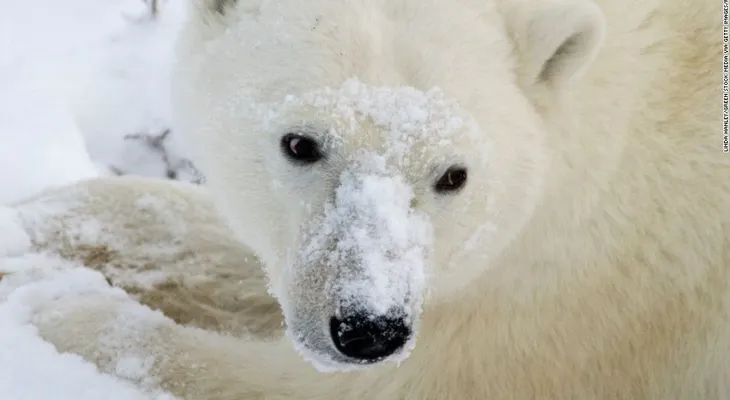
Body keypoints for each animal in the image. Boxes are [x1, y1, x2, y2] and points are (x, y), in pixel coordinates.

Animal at [2, 0, 728, 398]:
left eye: (454, 175)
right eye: (300, 143)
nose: (367, 329)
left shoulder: (563, 318)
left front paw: (50, 303)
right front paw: (29, 234)